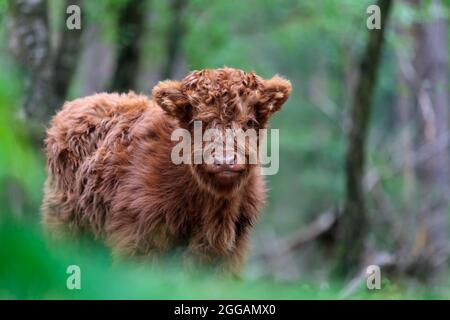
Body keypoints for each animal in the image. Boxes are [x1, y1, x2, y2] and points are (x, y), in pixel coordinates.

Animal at [42, 67, 292, 272]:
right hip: (66, 224)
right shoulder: (139, 239)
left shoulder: (228, 254)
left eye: (249, 122)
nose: (225, 160)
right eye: (200, 122)